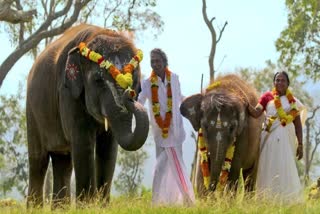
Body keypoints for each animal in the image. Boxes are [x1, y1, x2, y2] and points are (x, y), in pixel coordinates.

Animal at [26, 23, 149, 206]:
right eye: (98, 80)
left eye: (134, 79)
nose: (130, 94)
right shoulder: (68, 92)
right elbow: (83, 143)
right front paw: (87, 206)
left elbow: (108, 148)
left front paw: (101, 206)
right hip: (32, 112)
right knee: (38, 161)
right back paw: (35, 207)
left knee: (63, 161)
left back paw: (60, 208)